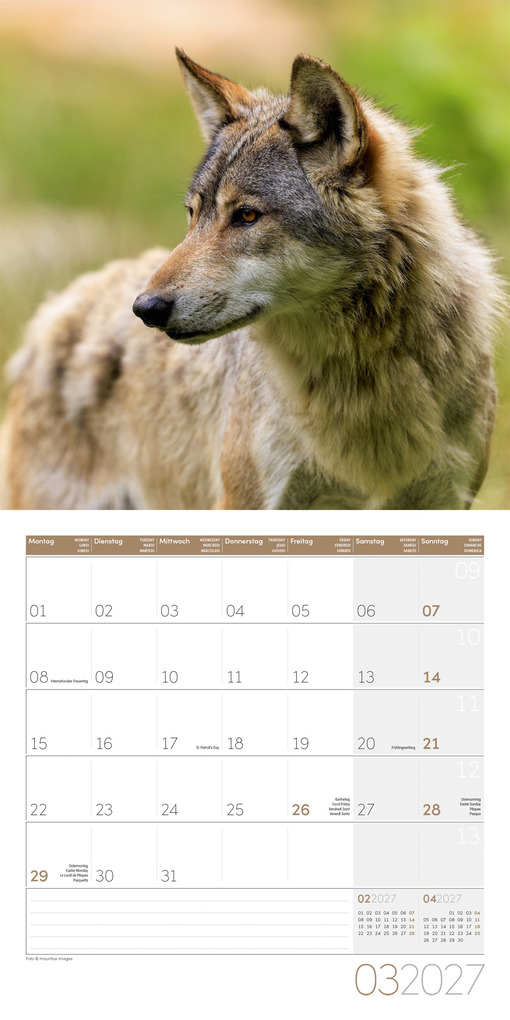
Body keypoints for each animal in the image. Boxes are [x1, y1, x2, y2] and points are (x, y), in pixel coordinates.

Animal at [0, 50, 501, 509]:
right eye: (193, 214)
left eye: (245, 216)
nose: (146, 309)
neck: (361, 373)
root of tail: (56, 309)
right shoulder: (248, 502)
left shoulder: (447, 499)